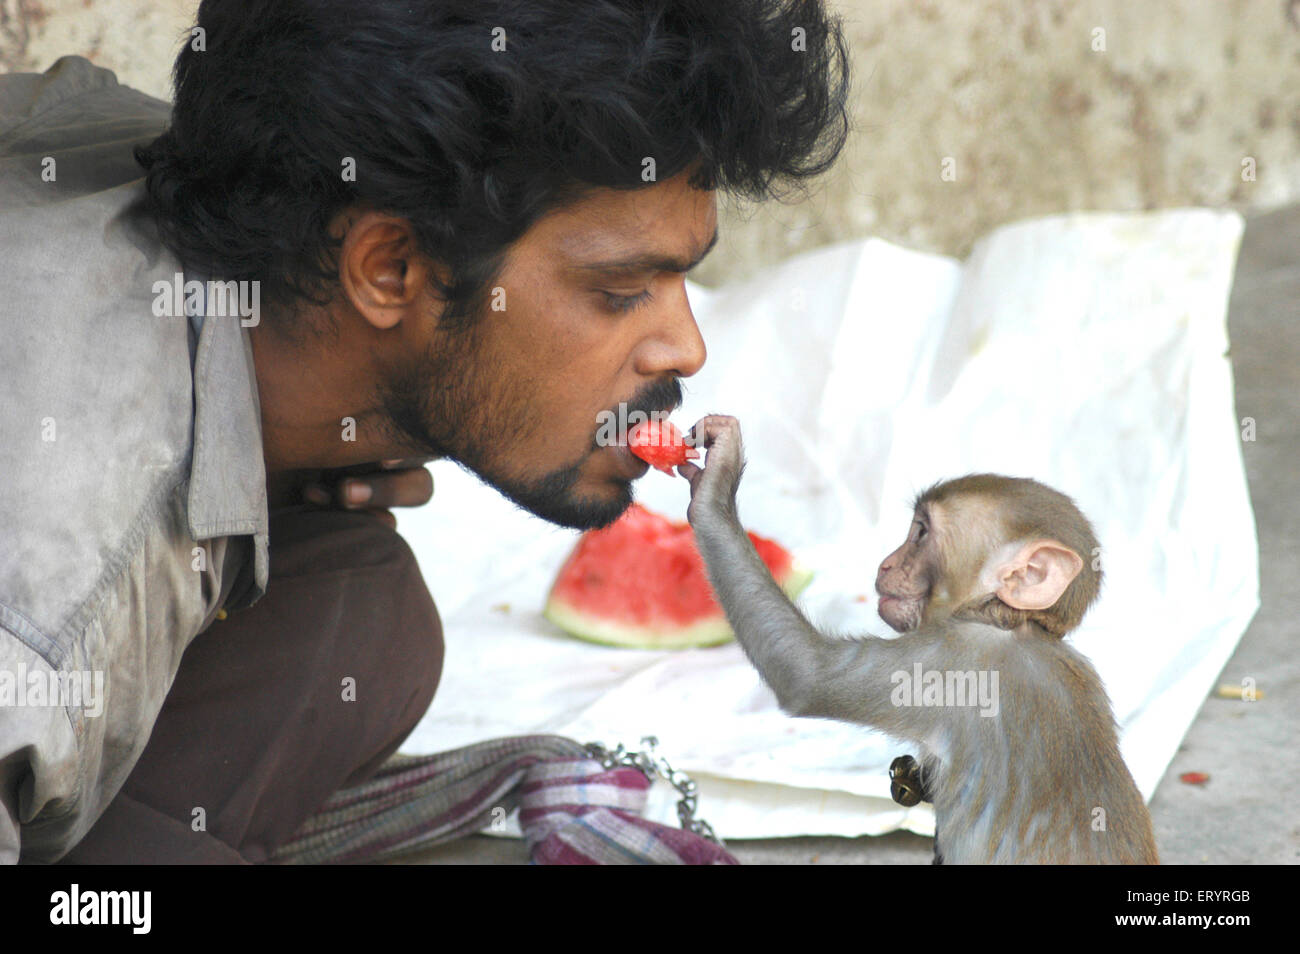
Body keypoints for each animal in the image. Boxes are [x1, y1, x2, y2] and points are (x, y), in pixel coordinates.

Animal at [681, 415, 1159, 868]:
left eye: (921, 533)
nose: (887, 564)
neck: (1008, 622)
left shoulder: (952, 660)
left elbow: (805, 673)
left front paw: (714, 489)